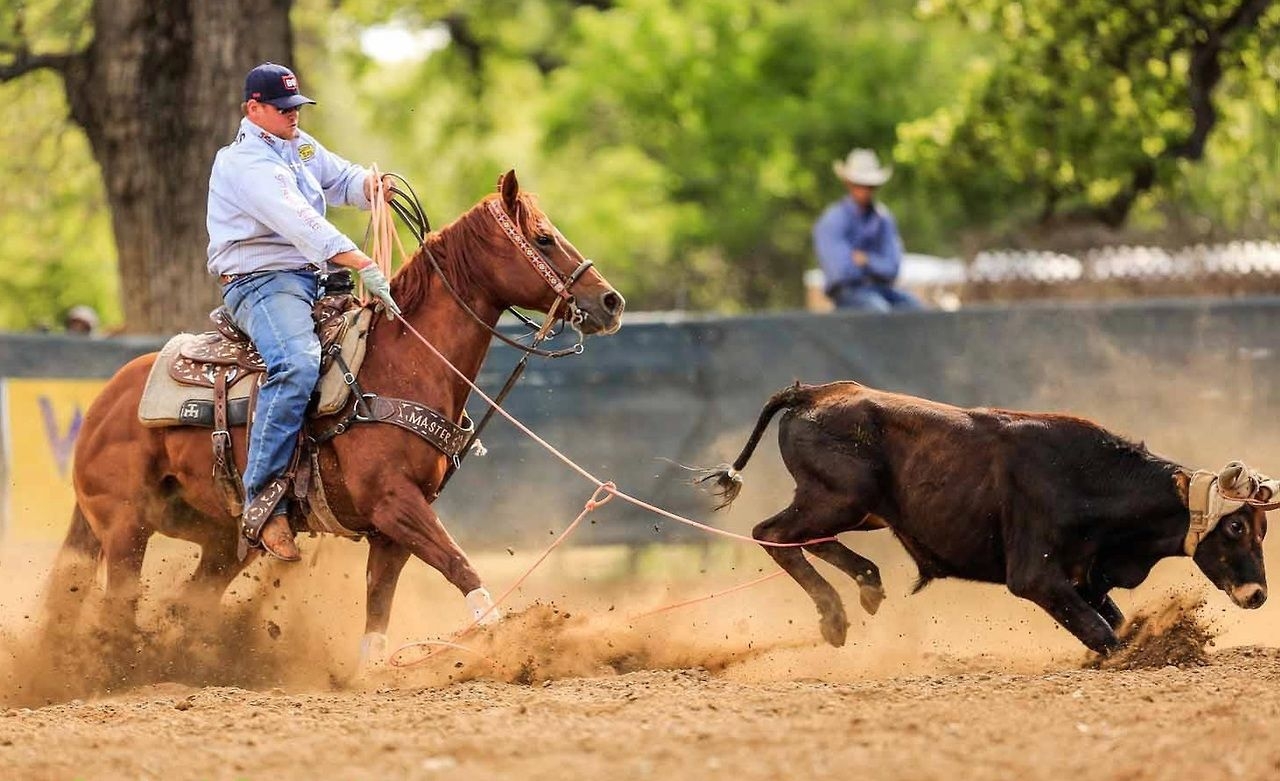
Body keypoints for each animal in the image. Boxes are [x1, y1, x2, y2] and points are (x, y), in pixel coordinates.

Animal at [48, 169, 624, 660]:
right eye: (544, 238)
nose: (611, 302)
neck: (401, 365)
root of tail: (105, 402)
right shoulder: (394, 503)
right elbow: (459, 564)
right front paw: (513, 643)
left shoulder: (394, 527)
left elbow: (379, 604)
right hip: (125, 526)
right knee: (118, 606)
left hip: (221, 539)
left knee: (189, 604)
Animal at [701, 378, 1269, 650]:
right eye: (1236, 526)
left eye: (1263, 528)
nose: (1258, 594)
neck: (1089, 482)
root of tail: (815, 394)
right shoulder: (1036, 576)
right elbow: (1100, 633)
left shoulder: (1083, 578)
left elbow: (1111, 620)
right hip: (838, 498)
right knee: (770, 532)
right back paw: (835, 615)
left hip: (857, 510)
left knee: (805, 539)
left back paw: (867, 584)